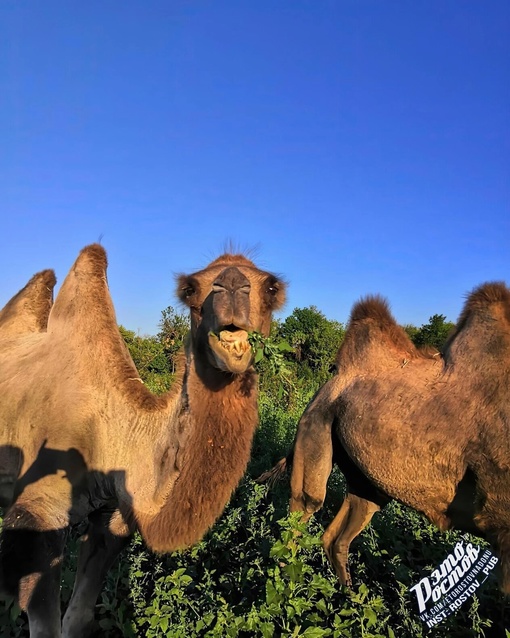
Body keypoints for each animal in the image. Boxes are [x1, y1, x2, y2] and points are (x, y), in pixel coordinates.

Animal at [0, 242, 286, 636]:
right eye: (190, 289)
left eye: (271, 287)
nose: (231, 285)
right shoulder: (37, 515)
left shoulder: (113, 520)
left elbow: (79, 616)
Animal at [266, 284, 510, 596]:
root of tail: (325, 387)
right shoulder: (500, 521)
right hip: (315, 425)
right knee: (302, 510)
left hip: (367, 481)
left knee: (338, 533)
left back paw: (350, 596)